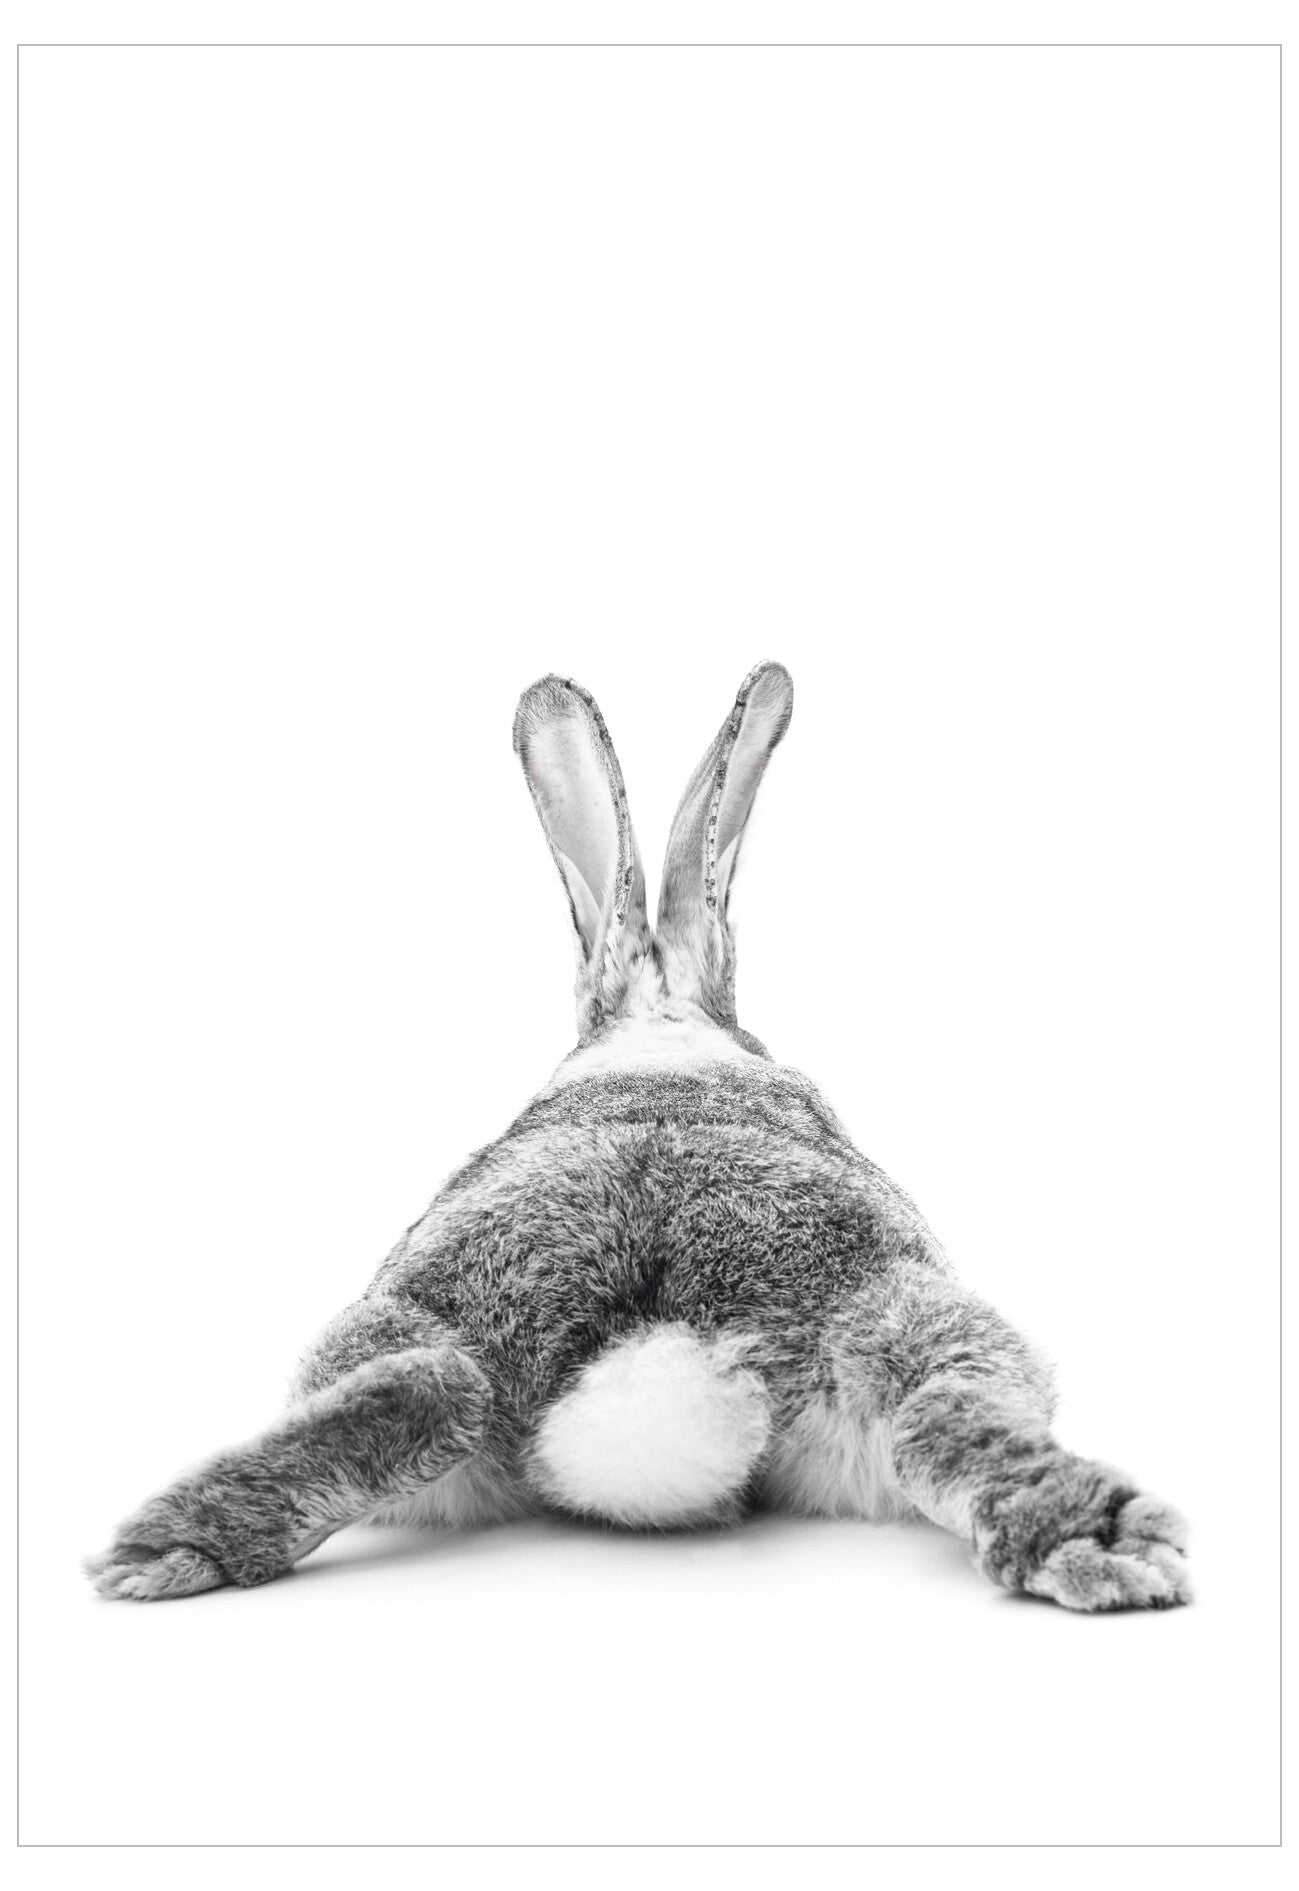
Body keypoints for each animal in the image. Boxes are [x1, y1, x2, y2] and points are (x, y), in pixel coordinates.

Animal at [86, 662, 1190, 1611]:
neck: (658, 1037)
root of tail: (657, 1339)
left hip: (411, 1336)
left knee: (432, 1387)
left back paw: (165, 1553)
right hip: (915, 1317)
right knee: (939, 1412)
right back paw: (1111, 1542)